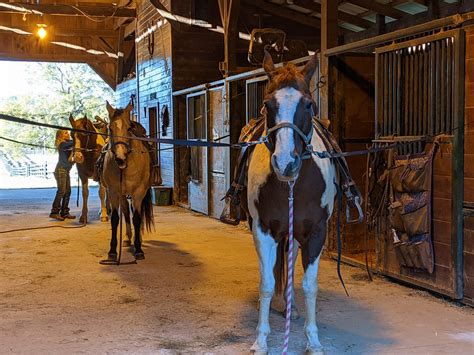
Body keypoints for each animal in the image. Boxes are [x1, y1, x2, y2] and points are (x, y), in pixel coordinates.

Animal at [101, 101, 154, 260]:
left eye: (129, 128)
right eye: (110, 128)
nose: (120, 157)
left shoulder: (138, 192)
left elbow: (137, 218)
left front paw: (139, 249)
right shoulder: (113, 192)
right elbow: (115, 218)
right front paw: (112, 250)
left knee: (136, 215)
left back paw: (138, 239)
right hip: (123, 194)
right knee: (125, 211)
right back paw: (127, 238)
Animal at [244, 51, 336, 354]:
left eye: (308, 104)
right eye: (267, 104)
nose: (286, 163)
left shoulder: (317, 231)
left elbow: (310, 285)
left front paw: (313, 341)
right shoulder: (262, 229)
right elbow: (266, 282)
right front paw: (261, 340)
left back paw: (291, 307)